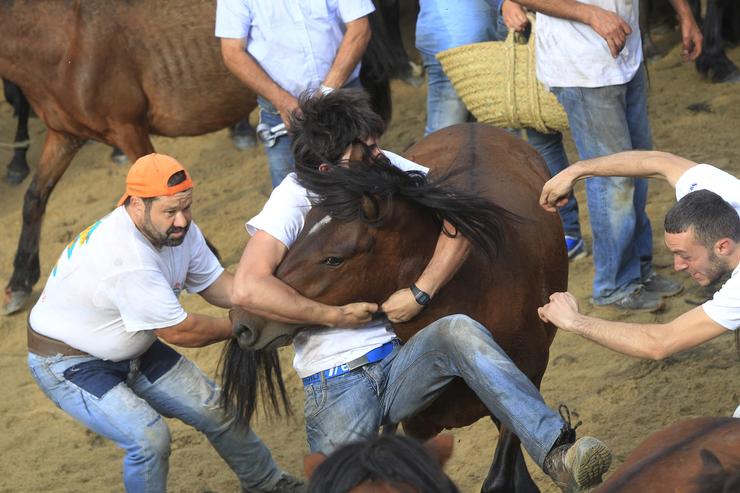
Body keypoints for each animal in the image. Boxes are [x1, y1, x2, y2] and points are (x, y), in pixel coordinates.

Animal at [220, 121, 568, 490]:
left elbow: (502, 471)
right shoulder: (418, 423)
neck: (478, 291)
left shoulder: (527, 377)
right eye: (298, 233)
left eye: (333, 258)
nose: (242, 321)